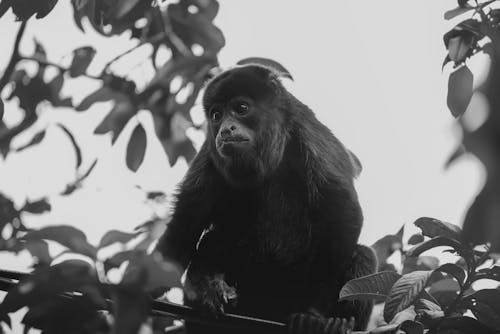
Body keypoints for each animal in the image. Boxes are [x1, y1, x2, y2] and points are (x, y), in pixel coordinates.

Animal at [156, 63, 376, 334]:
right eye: (216, 115)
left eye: (241, 108)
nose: (226, 129)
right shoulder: (210, 152)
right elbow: (186, 224)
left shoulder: (313, 138)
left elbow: (345, 216)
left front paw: (315, 315)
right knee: (212, 240)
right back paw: (209, 291)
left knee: (364, 254)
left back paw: (340, 322)